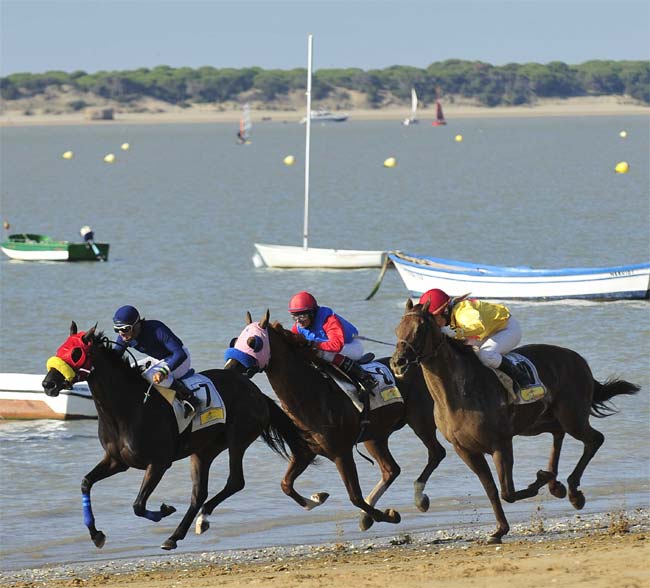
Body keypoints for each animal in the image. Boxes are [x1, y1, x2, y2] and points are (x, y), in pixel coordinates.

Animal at [40, 322, 314, 552]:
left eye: (76, 353)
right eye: (61, 349)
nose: (48, 384)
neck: (128, 408)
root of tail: (256, 392)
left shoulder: (159, 463)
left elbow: (138, 505)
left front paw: (164, 509)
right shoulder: (117, 461)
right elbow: (86, 482)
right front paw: (96, 534)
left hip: (238, 439)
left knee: (235, 481)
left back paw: (195, 522)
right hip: (203, 451)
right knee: (199, 493)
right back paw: (177, 535)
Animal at [224, 310, 446, 532]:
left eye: (253, 342)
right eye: (236, 341)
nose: (230, 366)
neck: (312, 394)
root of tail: (420, 364)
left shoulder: (341, 453)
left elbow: (355, 497)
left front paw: (388, 515)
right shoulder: (305, 452)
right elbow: (286, 485)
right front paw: (317, 498)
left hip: (420, 420)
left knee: (436, 453)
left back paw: (419, 498)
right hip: (375, 436)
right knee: (391, 469)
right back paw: (369, 514)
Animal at [390, 300, 636, 544]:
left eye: (420, 329)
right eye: (398, 328)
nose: (397, 362)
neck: (459, 392)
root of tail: (579, 359)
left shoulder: (500, 443)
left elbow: (507, 492)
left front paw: (539, 481)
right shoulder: (466, 450)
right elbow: (491, 489)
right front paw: (499, 530)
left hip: (572, 417)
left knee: (594, 439)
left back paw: (574, 492)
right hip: (538, 422)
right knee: (558, 433)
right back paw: (556, 484)